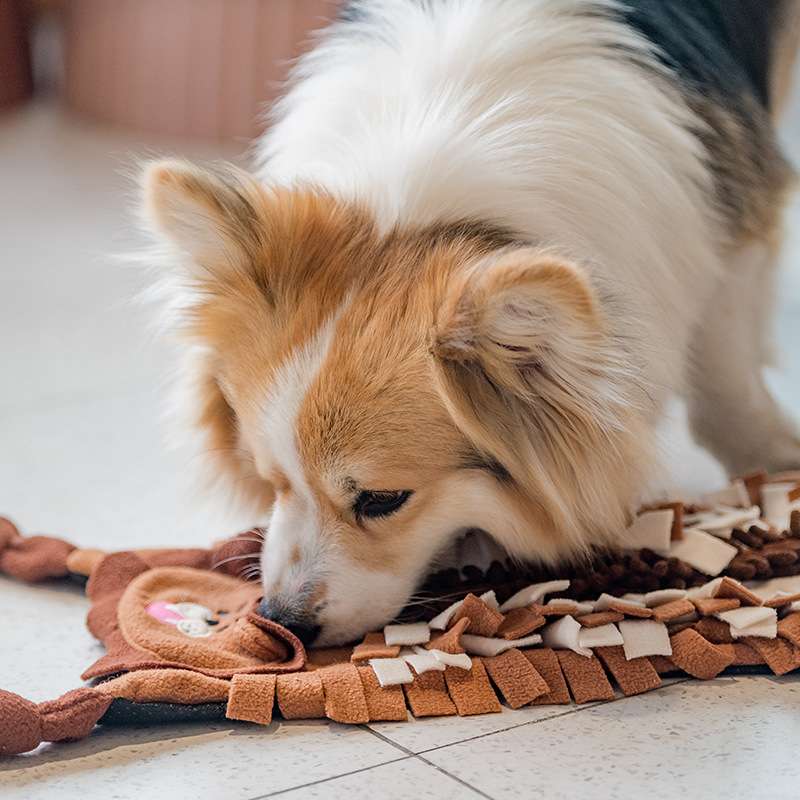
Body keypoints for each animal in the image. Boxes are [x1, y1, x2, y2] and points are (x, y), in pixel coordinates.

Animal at [139, 1, 800, 644]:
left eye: (382, 500)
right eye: (271, 479)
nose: (282, 621)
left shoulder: (732, 231)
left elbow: (726, 370)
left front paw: (772, 459)